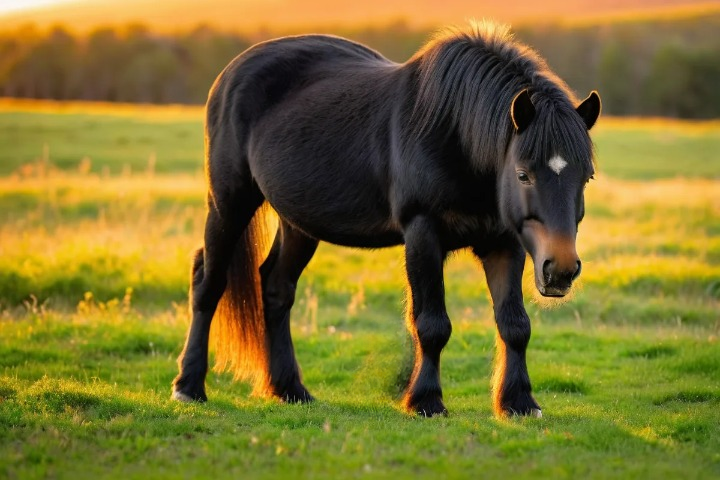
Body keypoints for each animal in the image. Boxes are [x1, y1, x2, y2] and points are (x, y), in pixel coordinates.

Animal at [171, 21, 601, 417]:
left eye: (586, 177)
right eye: (523, 174)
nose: (561, 270)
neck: (453, 133)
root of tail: (232, 72)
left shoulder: (503, 242)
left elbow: (514, 324)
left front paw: (519, 402)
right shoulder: (423, 233)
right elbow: (431, 325)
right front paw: (426, 401)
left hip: (298, 224)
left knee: (276, 287)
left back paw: (290, 389)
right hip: (229, 203)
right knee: (208, 282)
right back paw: (189, 386)